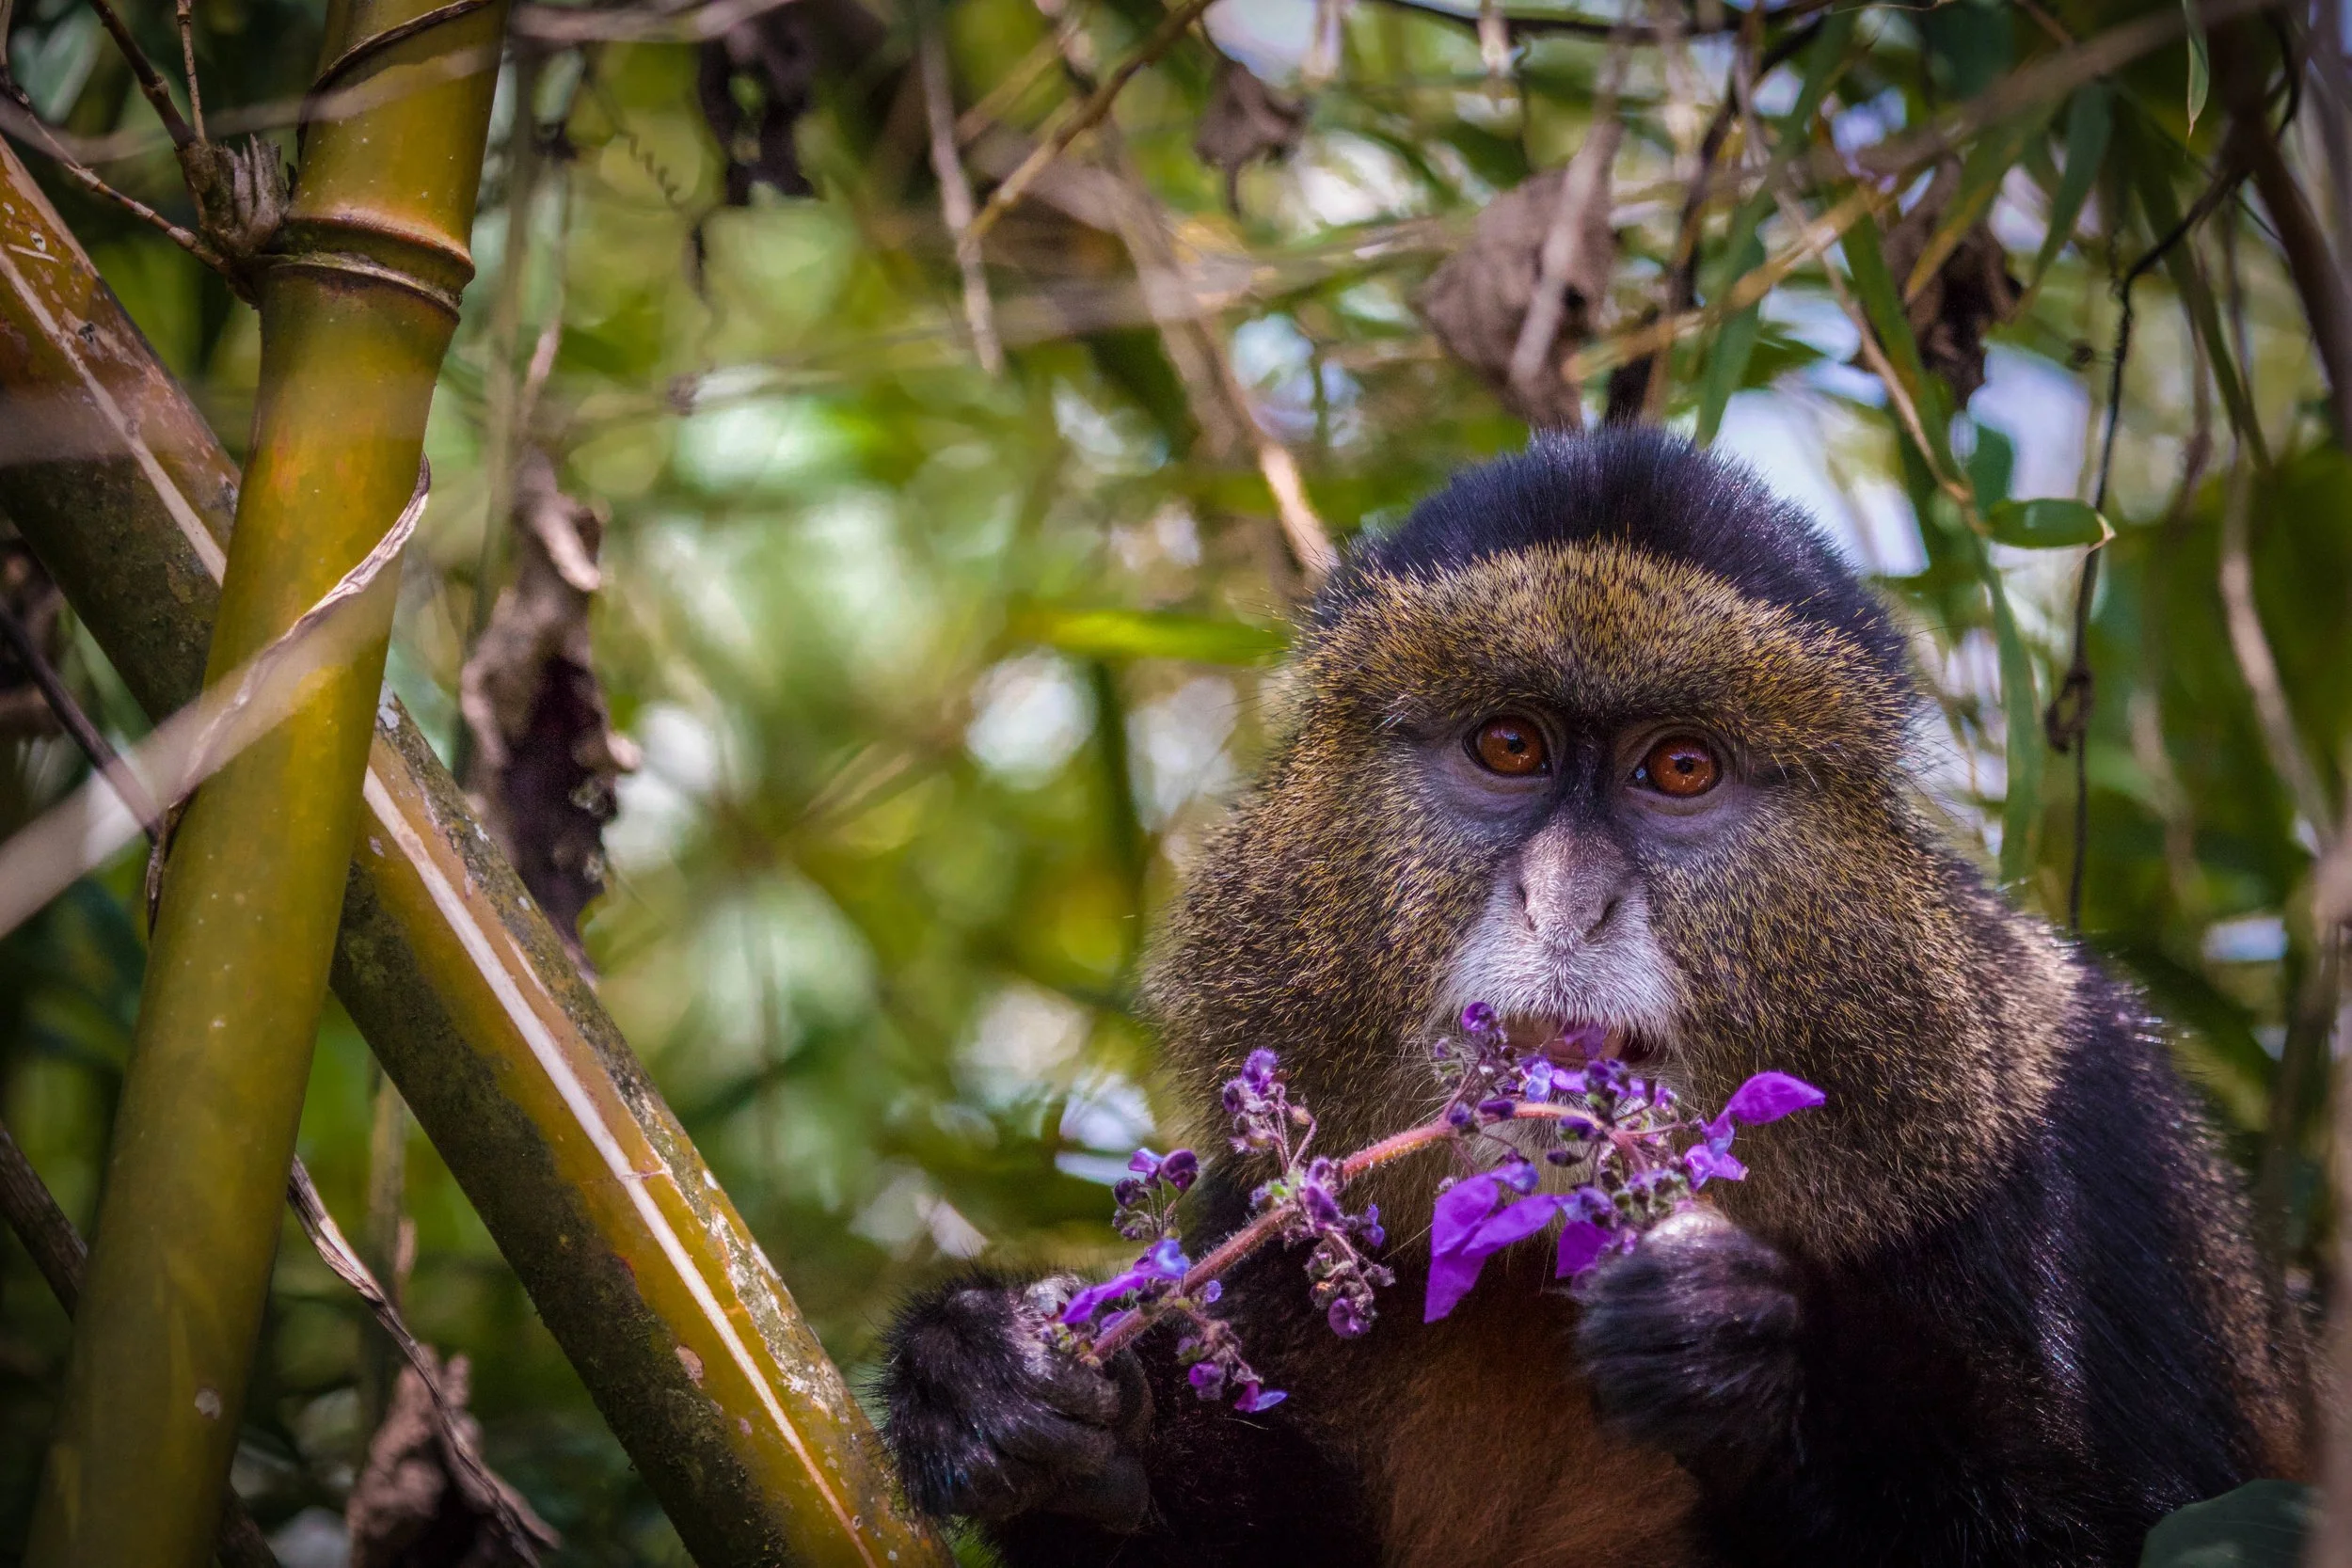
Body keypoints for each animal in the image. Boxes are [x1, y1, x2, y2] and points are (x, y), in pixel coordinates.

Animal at [876, 428, 2306, 1568]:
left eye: (1680, 767)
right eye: (1509, 743)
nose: (1565, 901)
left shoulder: (2091, 1163)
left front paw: (1733, 1351)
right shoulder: (1265, 1221)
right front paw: (996, 1381)